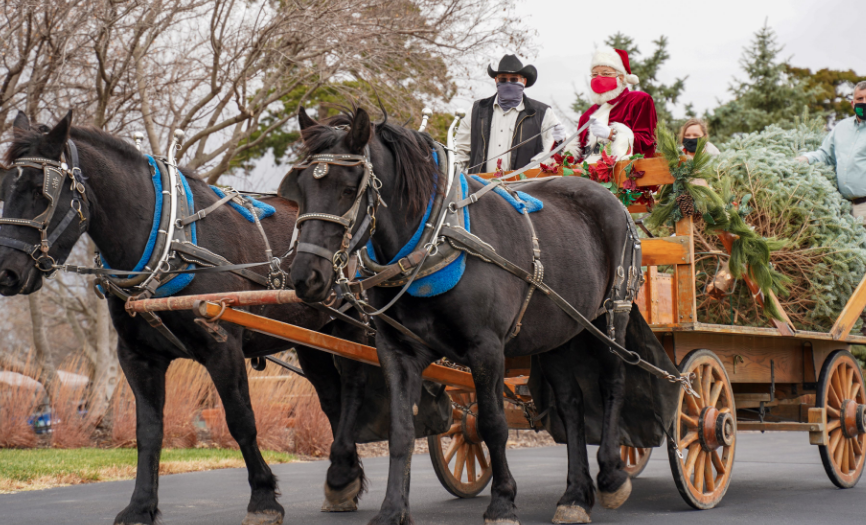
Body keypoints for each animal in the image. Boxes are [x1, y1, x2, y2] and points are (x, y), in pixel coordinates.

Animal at [0, 112, 368, 524]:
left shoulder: (222, 347)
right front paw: (140, 506)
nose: (5, 272)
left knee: (355, 389)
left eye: (41, 192)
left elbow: (241, 421)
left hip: (354, 327)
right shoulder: (138, 357)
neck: (165, 243)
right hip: (312, 339)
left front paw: (263, 498)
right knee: (332, 400)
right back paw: (344, 480)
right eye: (4, 189)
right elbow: (148, 432)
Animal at [288, 106, 636, 524]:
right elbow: (401, 430)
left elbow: (492, 423)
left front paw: (502, 501)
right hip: (559, 332)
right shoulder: (397, 350)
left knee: (614, 383)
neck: (431, 239)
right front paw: (392, 509)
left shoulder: (486, 348)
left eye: (348, 188)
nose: (305, 276)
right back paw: (574, 496)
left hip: (610, 319)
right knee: (571, 405)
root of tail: (609, 196)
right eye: (301, 186)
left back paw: (612, 474)